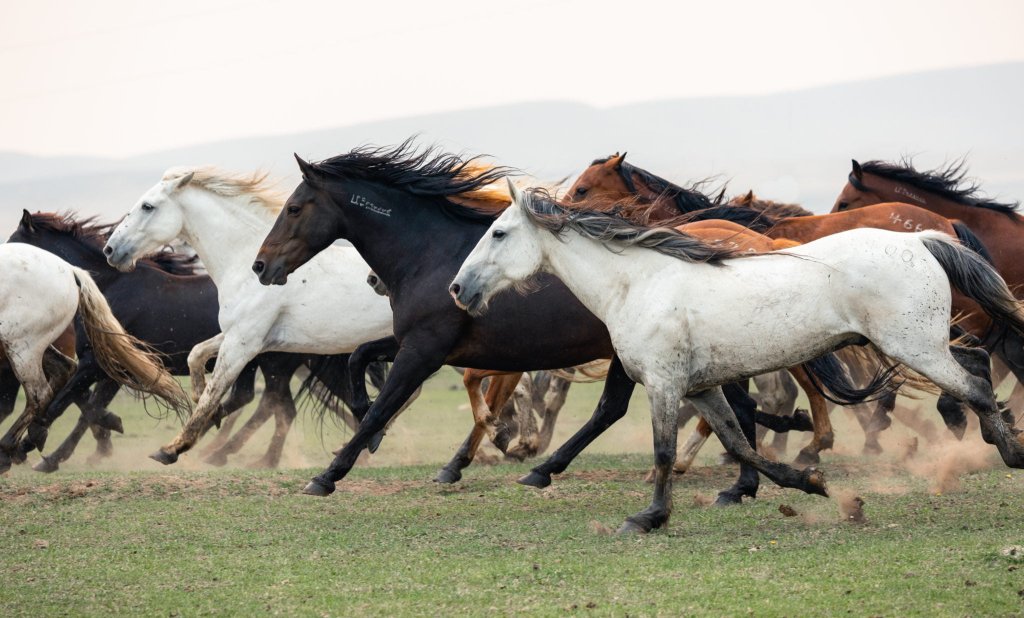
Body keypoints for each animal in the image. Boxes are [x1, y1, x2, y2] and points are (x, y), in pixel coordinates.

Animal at [0, 243, 189, 472]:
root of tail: (70, 270)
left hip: (22, 344)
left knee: (40, 394)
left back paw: (10, 450)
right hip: (31, 345)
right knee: (63, 373)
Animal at [102, 168, 397, 465]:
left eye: (147, 206)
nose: (110, 250)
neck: (246, 265)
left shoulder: (243, 343)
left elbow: (214, 392)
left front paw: (172, 449)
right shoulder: (242, 335)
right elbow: (197, 355)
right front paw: (203, 403)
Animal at [251, 141, 875, 504]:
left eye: (294, 208)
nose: (261, 266)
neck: (433, 254)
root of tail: (752, 241)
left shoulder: (427, 348)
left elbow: (388, 400)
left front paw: (330, 473)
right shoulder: (427, 345)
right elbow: (363, 365)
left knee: (699, 407)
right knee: (668, 408)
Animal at [450, 185, 1024, 532]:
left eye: (498, 233)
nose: (459, 289)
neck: (638, 283)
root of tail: (924, 239)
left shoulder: (663, 384)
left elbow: (665, 451)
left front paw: (648, 517)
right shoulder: (701, 388)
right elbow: (739, 443)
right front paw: (805, 483)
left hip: (913, 346)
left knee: (974, 386)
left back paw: (1008, 452)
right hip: (923, 344)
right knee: (977, 367)